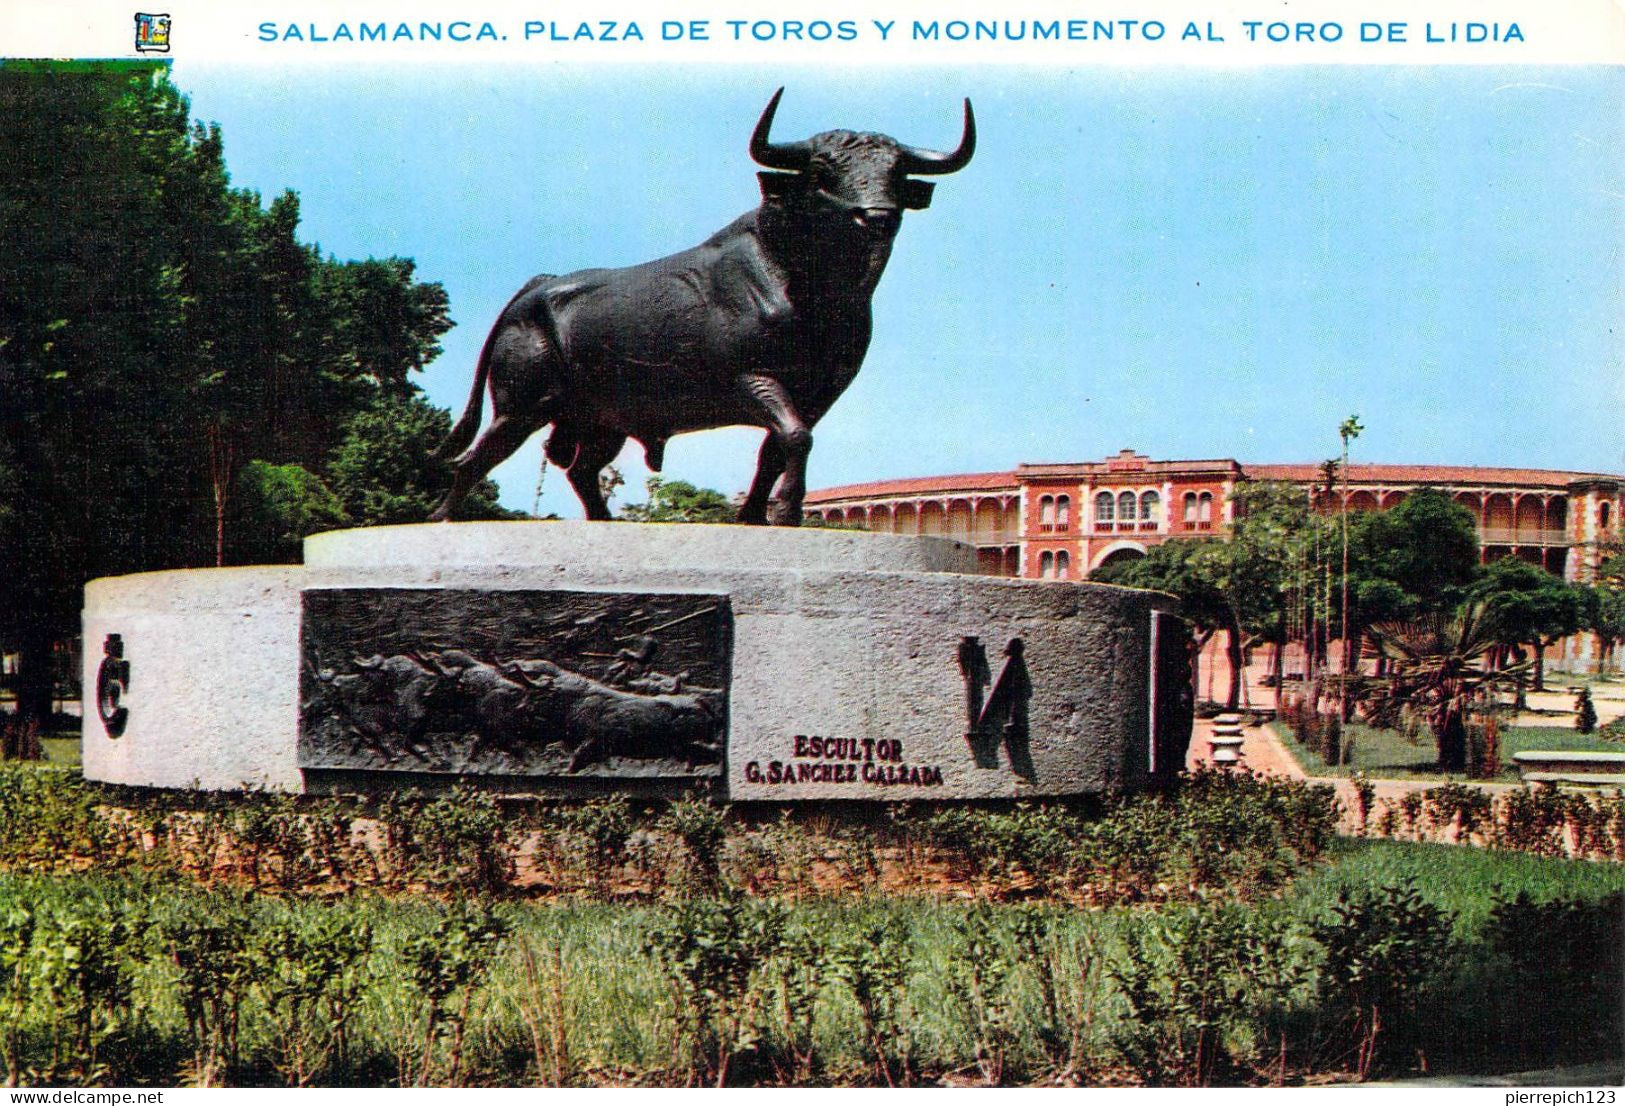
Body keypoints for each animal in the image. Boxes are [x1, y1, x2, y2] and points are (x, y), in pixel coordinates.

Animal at [425, 86, 968, 526]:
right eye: (820, 172)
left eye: (895, 172)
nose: (877, 217)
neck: (815, 293)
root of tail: (539, 288)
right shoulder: (751, 377)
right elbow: (794, 438)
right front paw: (786, 512)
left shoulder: (819, 393)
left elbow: (776, 450)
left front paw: (754, 516)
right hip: (522, 403)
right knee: (478, 457)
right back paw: (443, 518)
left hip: (601, 415)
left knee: (581, 469)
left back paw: (604, 521)